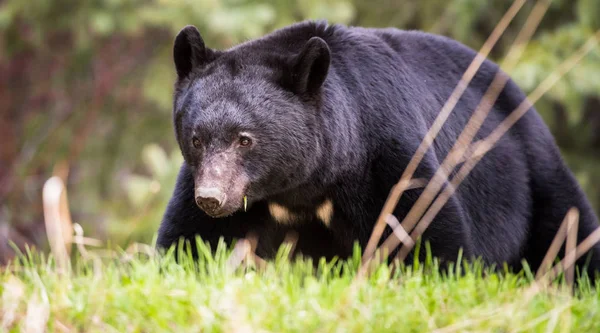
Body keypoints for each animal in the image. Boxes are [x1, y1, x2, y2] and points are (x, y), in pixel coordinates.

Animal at [157, 20, 600, 272]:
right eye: (196, 138)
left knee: (569, 230)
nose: (212, 197)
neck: (306, 184)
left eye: (245, 139)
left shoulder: (387, 155)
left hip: (531, 170)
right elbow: (189, 240)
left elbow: (428, 232)